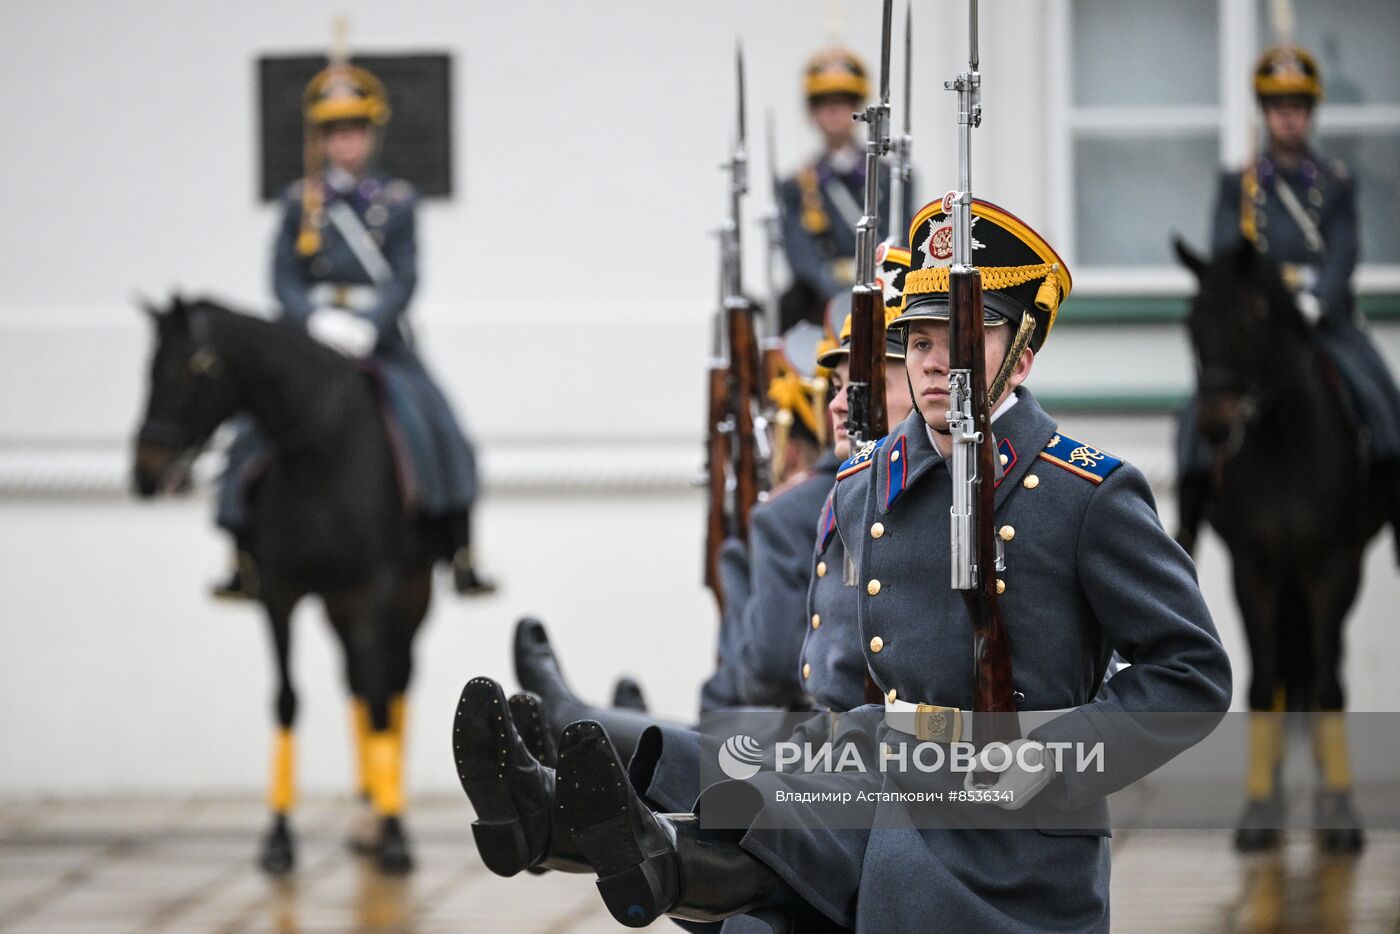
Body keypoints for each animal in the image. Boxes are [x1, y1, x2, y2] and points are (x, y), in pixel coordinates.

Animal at [133, 299, 442, 879]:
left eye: (193, 369)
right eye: (148, 369)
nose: (144, 474)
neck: (320, 455)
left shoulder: (380, 587)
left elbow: (382, 699)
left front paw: (394, 834)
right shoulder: (279, 594)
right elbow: (286, 699)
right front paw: (279, 835)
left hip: (408, 597)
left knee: (391, 683)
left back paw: (383, 815)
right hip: (339, 604)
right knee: (357, 681)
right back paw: (366, 812)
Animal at [1176, 243, 1383, 856]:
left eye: (1252, 321)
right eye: (1190, 324)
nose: (1216, 429)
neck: (1284, 442)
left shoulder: (1335, 568)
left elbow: (1328, 683)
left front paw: (1340, 811)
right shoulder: (1254, 570)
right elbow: (1265, 680)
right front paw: (1259, 809)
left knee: (1321, 668)